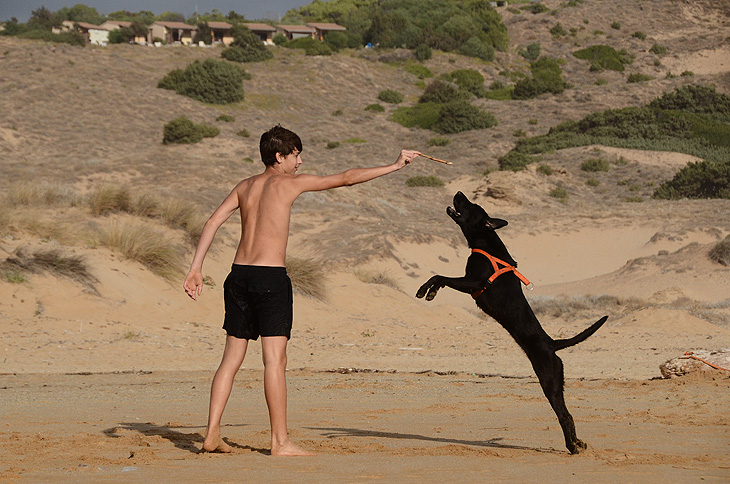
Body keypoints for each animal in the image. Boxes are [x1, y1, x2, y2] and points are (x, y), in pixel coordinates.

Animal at [418, 190, 604, 454]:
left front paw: (425, 289)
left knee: (563, 414)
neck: (485, 241)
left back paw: (572, 445)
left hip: (549, 378)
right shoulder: (469, 281)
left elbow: (439, 276)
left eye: (470, 204)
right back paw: (577, 442)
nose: (458, 193)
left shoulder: (474, 282)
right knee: (567, 414)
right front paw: (431, 291)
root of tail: (552, 343)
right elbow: (440, 278)